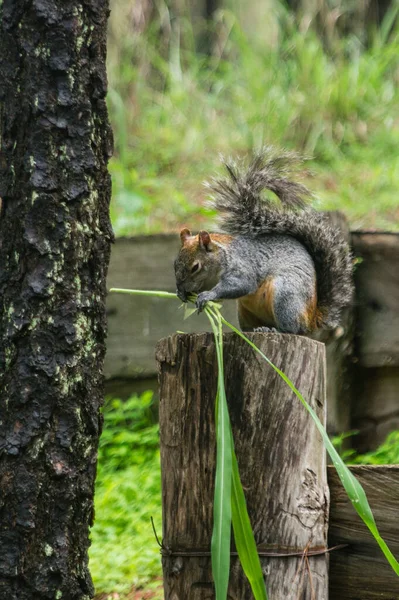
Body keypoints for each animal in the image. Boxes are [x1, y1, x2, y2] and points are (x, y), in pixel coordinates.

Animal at [173, 145, 354, 332]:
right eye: (174, 264)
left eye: (195, 267)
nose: (181, 287)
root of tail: (311, 318)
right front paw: (182, 294)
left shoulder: (242, 266)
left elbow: (242, 284)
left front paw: (208, 294)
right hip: (245, 312)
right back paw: (255, 330)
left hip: (285, 295)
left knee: (293, 328)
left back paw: (275, 329)